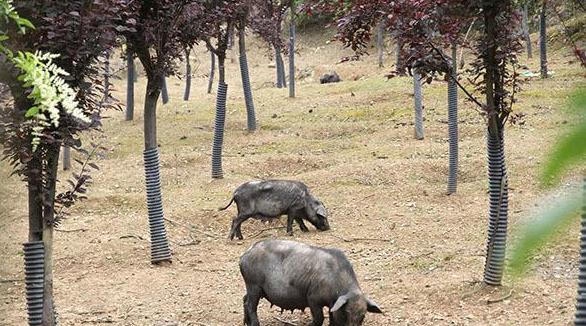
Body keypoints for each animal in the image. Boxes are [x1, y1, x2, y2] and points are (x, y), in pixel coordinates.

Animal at [240, 238, 380, 324]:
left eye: (362, 316)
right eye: (346, 312)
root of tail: (245, 254)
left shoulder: (332, 304)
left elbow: (331, 319)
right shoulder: (312, 299)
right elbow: (319, 318)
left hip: (253, 288)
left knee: (244, 299)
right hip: (253, 285)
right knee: (251, 305)